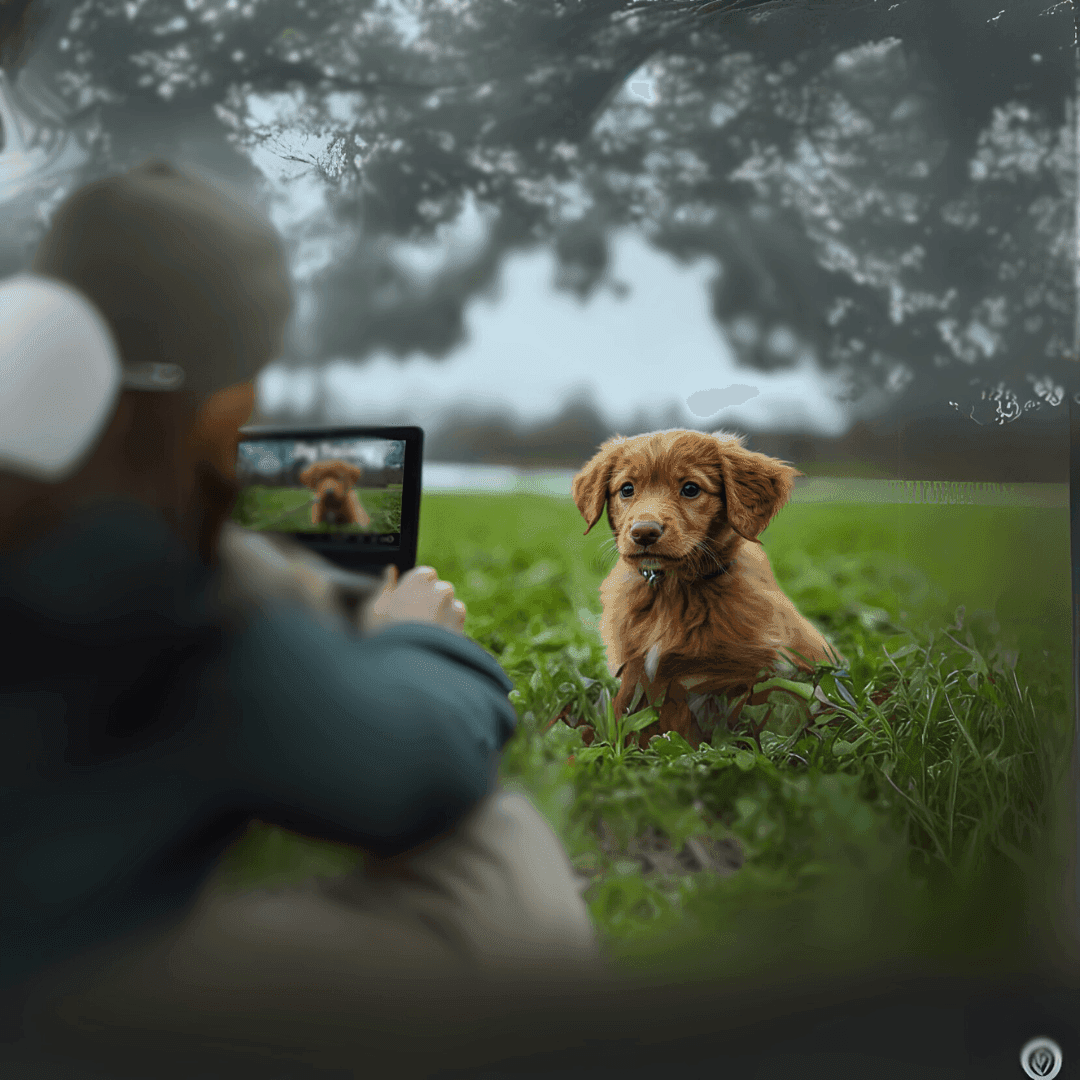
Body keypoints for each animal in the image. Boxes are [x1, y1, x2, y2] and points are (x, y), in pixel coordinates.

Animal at [574, 425, 842, 747]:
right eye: (626, 489)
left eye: (691, 489)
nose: (644, 533)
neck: (672, 587)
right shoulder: (634, 672)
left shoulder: (740, 675)